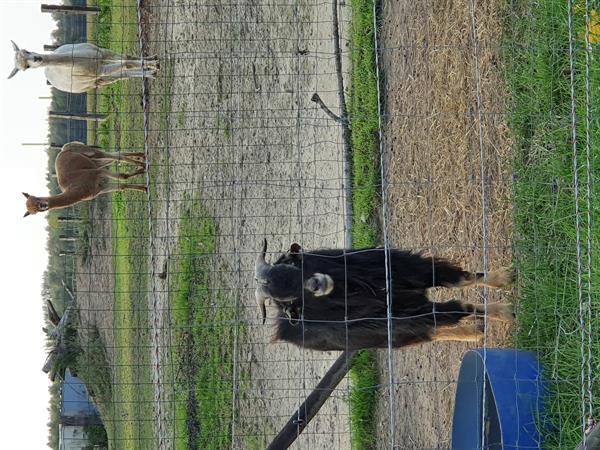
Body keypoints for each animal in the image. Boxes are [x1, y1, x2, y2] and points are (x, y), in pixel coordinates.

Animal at [9, 41, 159, 93]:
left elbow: (127, 58)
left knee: (122, 74)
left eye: (27, 50)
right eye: (26, 67)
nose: (37, 59)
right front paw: (154, 66)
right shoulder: (101, 70)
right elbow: (127, 64)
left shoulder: (103, 53)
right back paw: (150, 74)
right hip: (97, 79)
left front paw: (153, 60)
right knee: (121, 75)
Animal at [252, 239, 510, 352]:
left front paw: (505, 277)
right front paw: (507, 313)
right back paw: (473, 333)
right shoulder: (409, 316)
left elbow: (461, 279)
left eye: (291, 262)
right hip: (393, 337)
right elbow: (459, 307)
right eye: (287, 302)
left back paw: (475, 331)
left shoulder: (413, 271)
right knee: (432, 333)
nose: (316, 284)